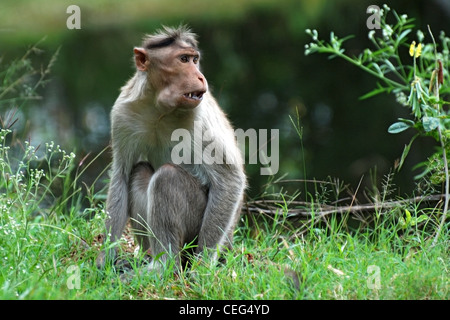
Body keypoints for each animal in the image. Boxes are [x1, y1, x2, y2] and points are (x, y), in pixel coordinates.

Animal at [96, 25, 248, 270]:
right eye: (183, 59)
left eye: (195, 60)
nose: (200, 76)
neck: (161, 109)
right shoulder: (122, 113)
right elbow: (121, 174)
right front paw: (105, 257)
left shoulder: (200, 115)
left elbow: (230, 178)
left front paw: (202, 266)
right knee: (139, 172)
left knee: (166, 177)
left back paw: (163, 265)